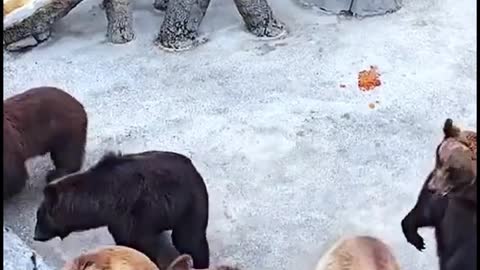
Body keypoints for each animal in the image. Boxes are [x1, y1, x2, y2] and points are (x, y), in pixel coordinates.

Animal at [33, 151, 210, 268]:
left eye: (39, 216)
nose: (36, 235)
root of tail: (195, 170)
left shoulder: (132, 216)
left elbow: (137, 244)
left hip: (189, 204)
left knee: (190, 239)